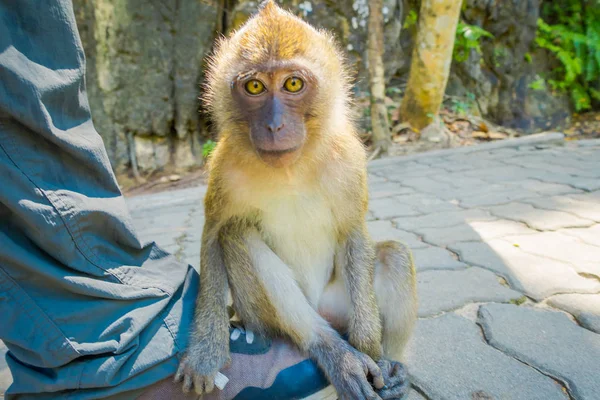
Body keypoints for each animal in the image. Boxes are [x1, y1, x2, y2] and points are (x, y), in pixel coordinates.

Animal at [175, 1, 418, 398]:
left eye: (293, 83)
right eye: (255, 86)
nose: (274, 125)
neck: (290, 168)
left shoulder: (348, 160)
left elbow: (353, 231)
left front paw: (373, 353)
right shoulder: (224, 169)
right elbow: (214, 234)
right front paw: (205, 354)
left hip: (339, 303)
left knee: (393, 255)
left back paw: (389, 364)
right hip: (270, 317)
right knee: (237, 234)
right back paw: (333, 351)